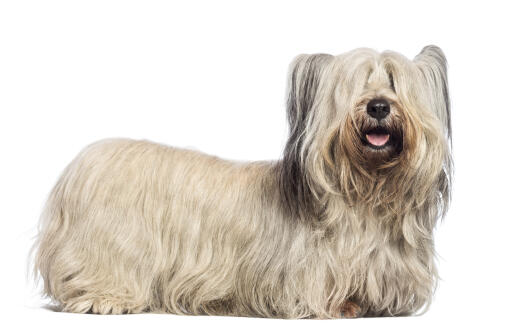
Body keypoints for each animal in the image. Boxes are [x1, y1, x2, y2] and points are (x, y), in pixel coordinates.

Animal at [33, 46, 452, 318]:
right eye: (356, 86)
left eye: (394, 83)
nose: (378, 106)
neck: (366, 191)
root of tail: (82, 162)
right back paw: (103, 298)